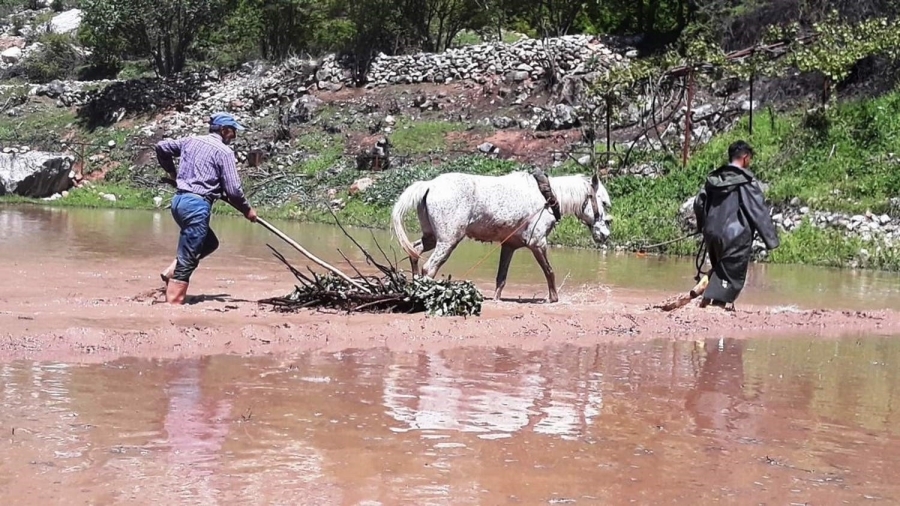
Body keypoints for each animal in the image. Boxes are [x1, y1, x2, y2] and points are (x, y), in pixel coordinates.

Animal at [388, 172, 612, 302]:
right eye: (603, 202)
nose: (605, 235)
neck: (547, 198)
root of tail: (429, 185)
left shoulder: (509, 246)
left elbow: (501, 278)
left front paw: (496, 299)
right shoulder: (537, 243)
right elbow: (549, 272)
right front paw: (553, 299)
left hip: (431, 237)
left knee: (415, 252)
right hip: (448, 240)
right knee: (429, 268)